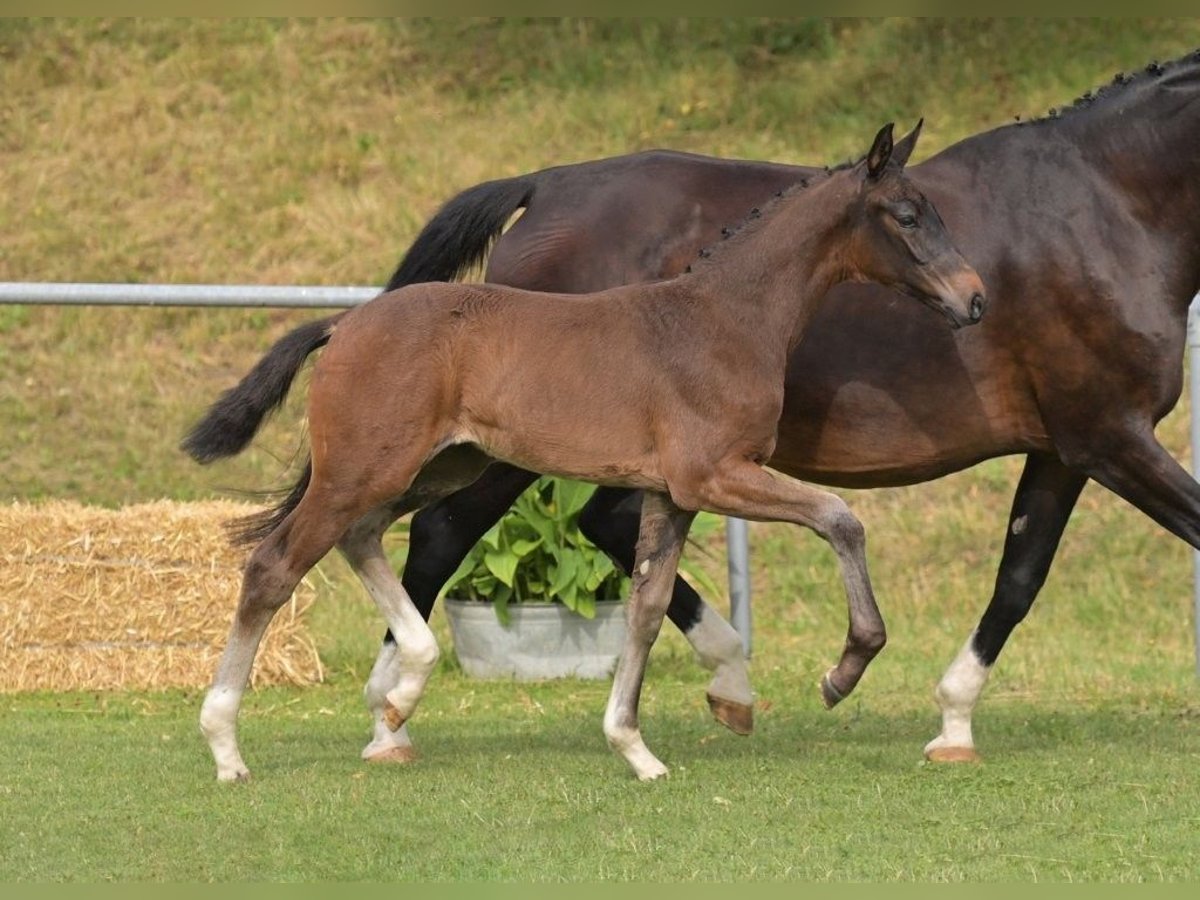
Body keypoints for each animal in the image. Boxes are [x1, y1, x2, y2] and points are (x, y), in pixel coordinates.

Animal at [184, 123, 986, 781]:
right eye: (907, 216)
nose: (975, 298)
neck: (727, 318)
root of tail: (344, 324)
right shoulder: (714, 476)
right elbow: (840, 519)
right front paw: (844, 670)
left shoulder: (671, 494)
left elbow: (646, 606)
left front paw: (635, 749)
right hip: (363, 468)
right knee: (275, 566)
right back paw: (227, 748)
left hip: (440, 465)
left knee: (363, 537)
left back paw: (403, 688)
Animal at [335, 50, 1200, 767]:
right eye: (908, 219)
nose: (973, 301)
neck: (1104, 206)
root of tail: (545, 184)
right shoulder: (1109, 439)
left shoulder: (1064, 449)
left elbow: (1018, 578)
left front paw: (953, 721)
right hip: (509, 447)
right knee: (442, 532)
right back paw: (392, 714)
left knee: (599, 528)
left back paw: (727, 683)